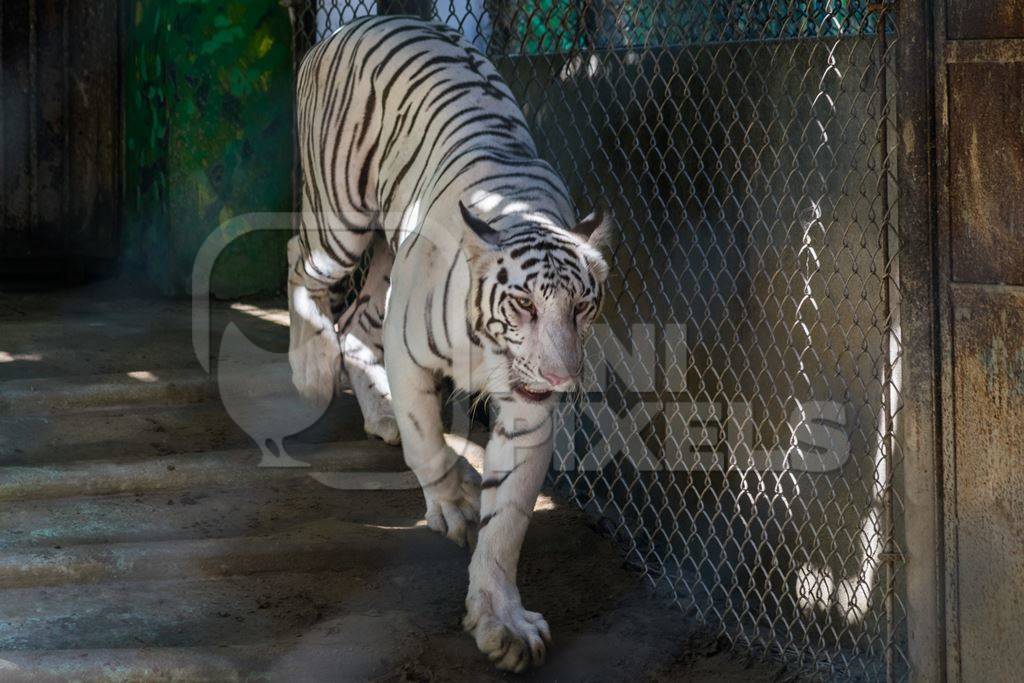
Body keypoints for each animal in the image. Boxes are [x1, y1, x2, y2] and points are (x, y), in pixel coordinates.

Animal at [286, 15, 606, 671]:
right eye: (524, 306)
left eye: (582, 308)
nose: (560, 377)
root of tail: (353, 23)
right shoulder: (409, 354)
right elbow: (427, 441)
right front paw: (455, 500)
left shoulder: (528, 412)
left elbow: (508, 520)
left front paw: (501, 621)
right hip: (340, 218)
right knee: (300, 263)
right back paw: (309, 368)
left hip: (384, 262)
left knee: (354, 322)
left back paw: (377, 413)